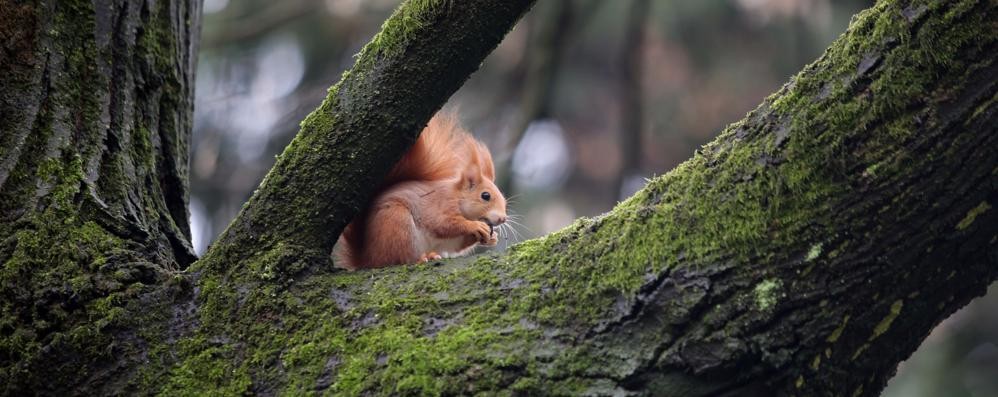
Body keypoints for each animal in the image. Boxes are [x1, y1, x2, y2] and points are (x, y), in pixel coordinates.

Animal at [336, 113, 508, 270]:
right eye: (485, 196)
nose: (503, 219)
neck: (457, 197)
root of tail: (368, 258)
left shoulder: (452, 240)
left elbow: (457, 243)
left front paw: (491, 238)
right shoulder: (440, 204)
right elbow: (444, 224)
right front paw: (475, 226)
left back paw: (431, 255)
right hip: (397, 223)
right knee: (399, 258)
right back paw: (419, 259)